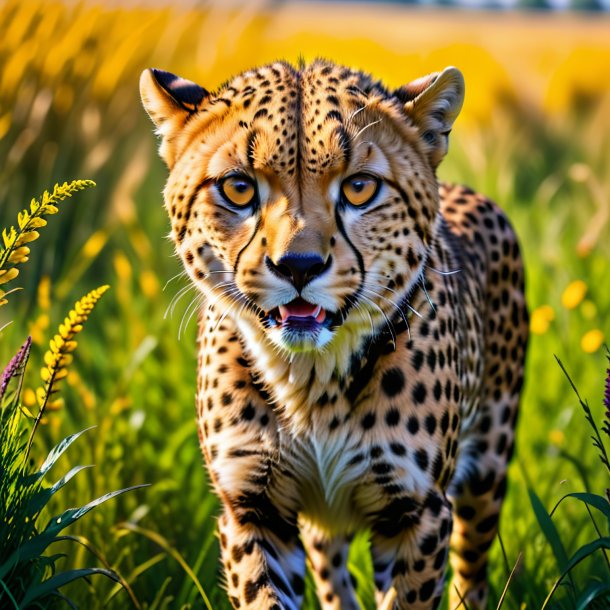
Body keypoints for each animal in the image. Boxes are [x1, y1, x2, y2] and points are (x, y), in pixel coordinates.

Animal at [140, 58, 524, 608]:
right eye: (238, 188)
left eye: (360, 187)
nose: (298, 266)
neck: (311, 381)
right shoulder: (253, 508)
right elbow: (263, 593)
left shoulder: (417, 511)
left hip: (487, 471)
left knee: (471, 571)